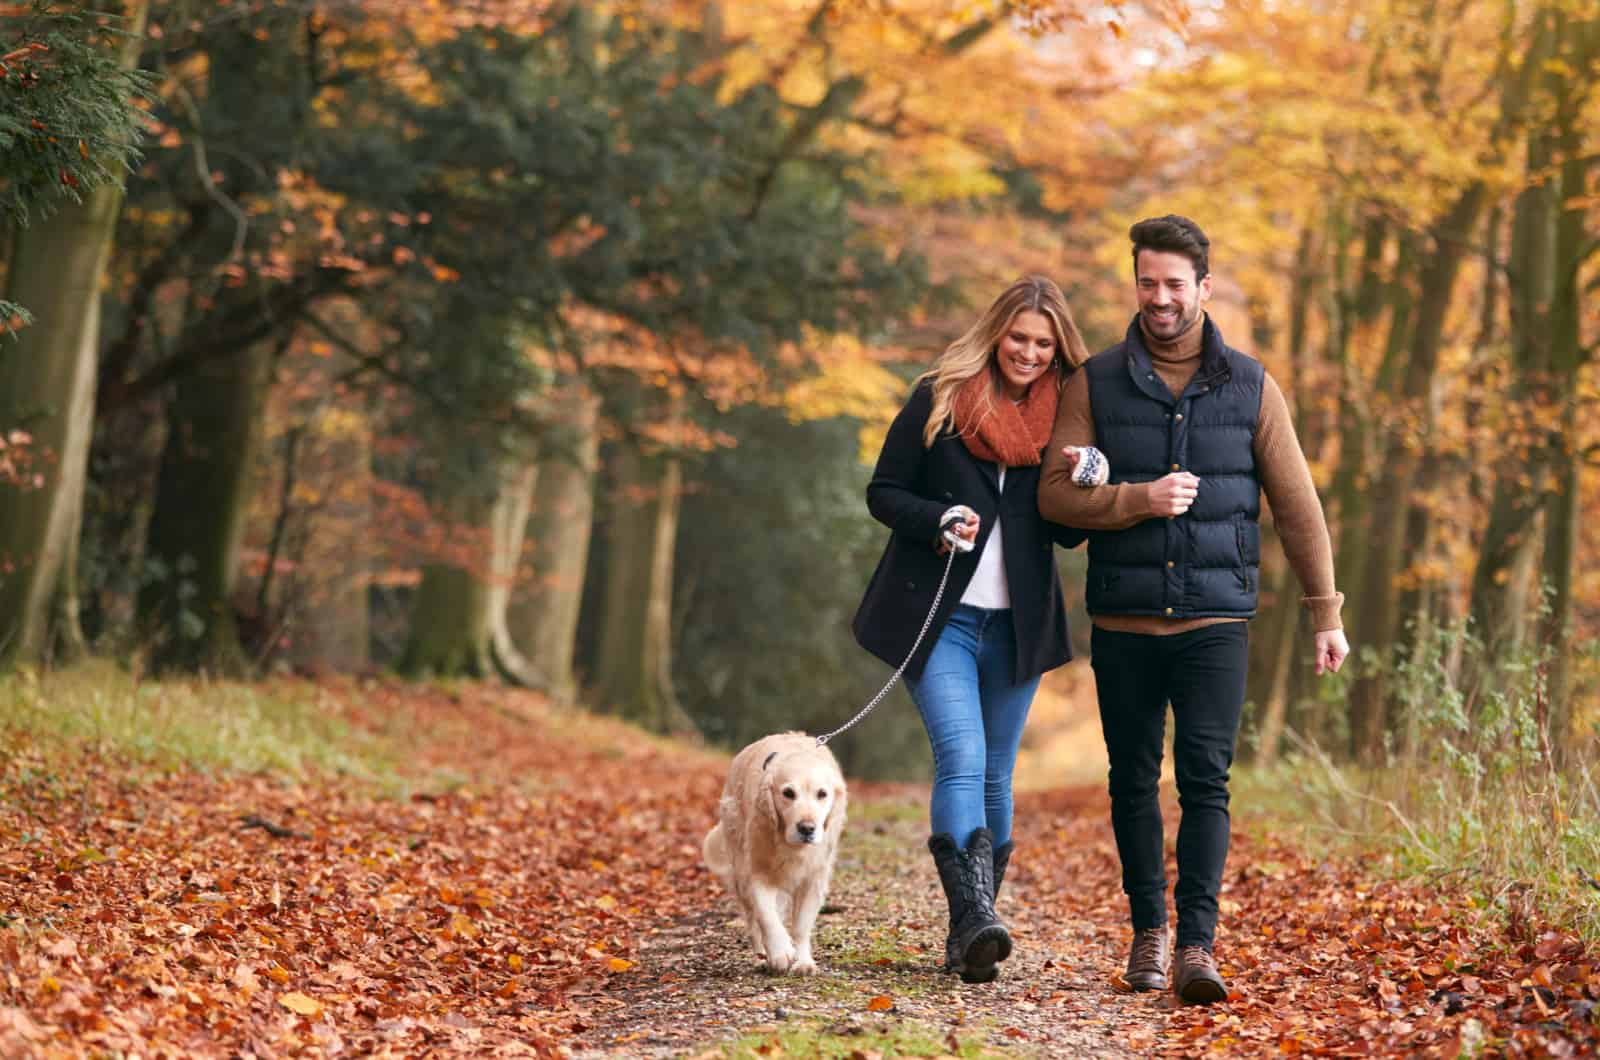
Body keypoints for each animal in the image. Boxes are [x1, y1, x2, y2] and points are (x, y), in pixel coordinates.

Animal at [704, 736, 851, 973]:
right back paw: (760, 954)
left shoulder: (813, 879)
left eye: (822, 794)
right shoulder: (757, 872)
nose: (807, 828)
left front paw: (803, 961)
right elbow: (766, 915)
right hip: (740, 869)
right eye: (788, 793)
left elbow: (800, 926)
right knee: (752, 919)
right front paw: (780, 952)